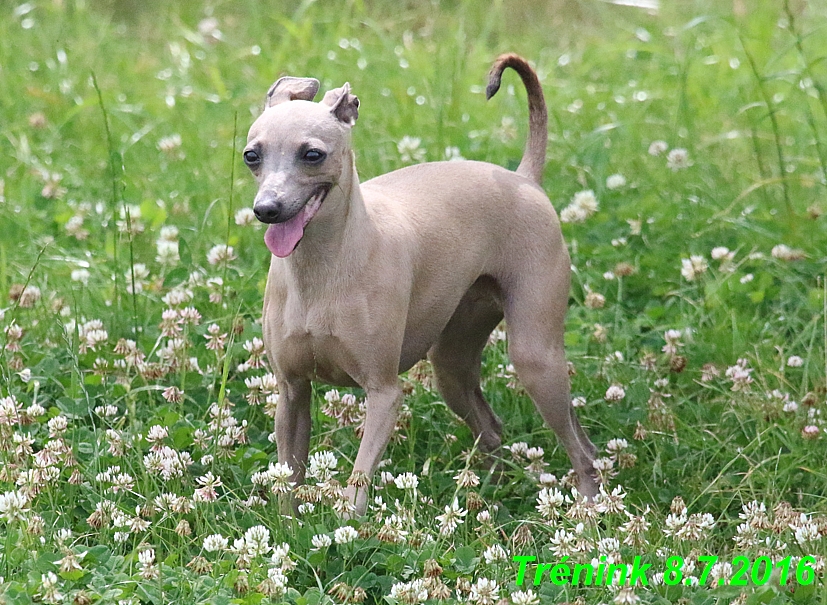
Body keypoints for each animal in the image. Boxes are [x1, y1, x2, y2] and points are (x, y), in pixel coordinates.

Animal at [243, 53, 600, 516]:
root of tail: (523, 178)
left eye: (312, 154)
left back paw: (588, 512)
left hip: (536, 357)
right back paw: (489, 498)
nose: (266, 209)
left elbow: (357, 483)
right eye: (252, 155)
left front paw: (345, 528)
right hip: (452, 365)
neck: (320, 272)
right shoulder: (291, 391)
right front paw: (290, 526)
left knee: (579, 449)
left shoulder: (383, 393)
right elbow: (288, 478)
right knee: (499, 429)